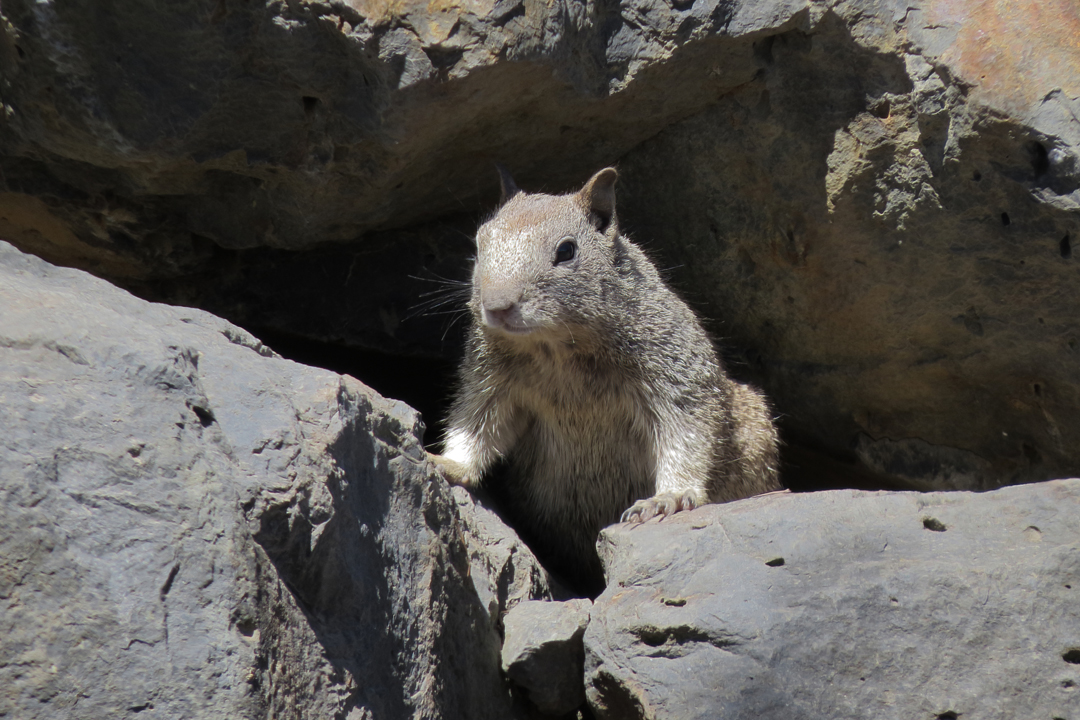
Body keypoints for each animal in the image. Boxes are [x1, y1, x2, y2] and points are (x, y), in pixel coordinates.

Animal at [430, 167, 780, 595]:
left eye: (566, 251)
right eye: (480, 243)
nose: (496, 306)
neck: (557, 346)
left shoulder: (673, 371)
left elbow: (686, 431)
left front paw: (669, 496)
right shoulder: (488, 382)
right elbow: (477, 426)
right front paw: (448, 463)